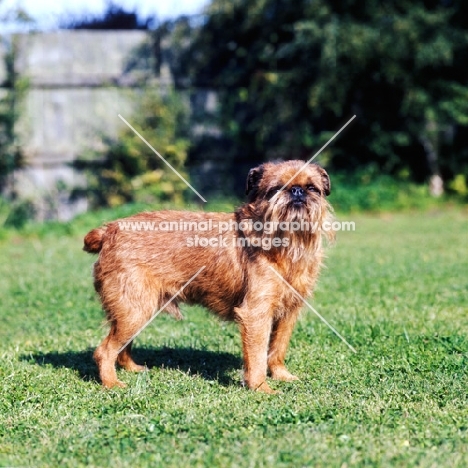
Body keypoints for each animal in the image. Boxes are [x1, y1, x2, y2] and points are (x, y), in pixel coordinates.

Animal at [83, 159, 332, 394]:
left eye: (312, 188)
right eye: (276, 189)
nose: (297, 191)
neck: (288, 245)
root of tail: (110, 230)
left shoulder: (289, 312)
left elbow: (278, 348)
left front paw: (281, 375)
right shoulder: (256, 314)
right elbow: (258, 355)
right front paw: (261, 387)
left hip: (137, 310)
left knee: (122, 346)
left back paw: (132, 369)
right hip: (135, 310)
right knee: (104, 350)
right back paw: (112, 383)